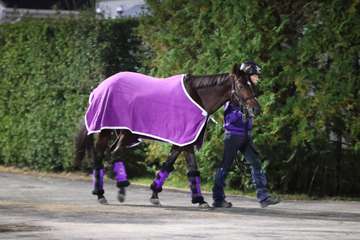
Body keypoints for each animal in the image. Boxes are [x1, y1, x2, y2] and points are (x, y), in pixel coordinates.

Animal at [74, 62, 260, 207]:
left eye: (251, 85)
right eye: (242, 86)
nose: (255, 109)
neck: (196, 97)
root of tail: (99, 88)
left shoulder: (184, 143)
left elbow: (179, 167)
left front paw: (195, 199)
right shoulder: (184, 140)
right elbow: (182, 167)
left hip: (123, 133)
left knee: (111, 154)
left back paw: (111, 190)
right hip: (111, 131)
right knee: (105, 155)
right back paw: (107, 192)